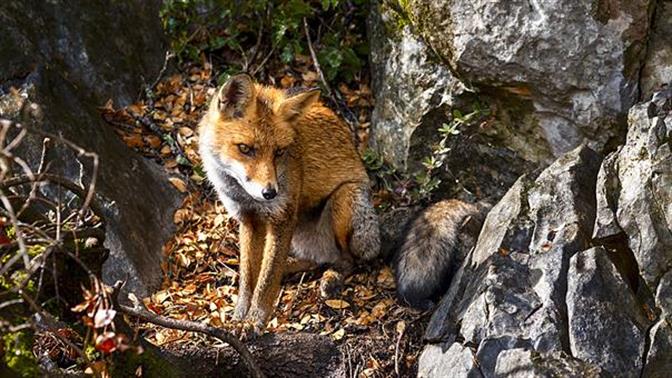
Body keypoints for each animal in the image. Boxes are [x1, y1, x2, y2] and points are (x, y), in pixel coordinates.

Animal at [197, 74, 380, 336]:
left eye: (279, 152)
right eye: (245, 148)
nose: (270, 193)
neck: (245, 196)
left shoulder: (281, 218)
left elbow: (266, 280)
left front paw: (254, 321)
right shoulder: (248, 219)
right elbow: (249, 277)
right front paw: (240, 315)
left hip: (343, 201)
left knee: (347, 260)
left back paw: (332, 277)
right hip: (300, 235)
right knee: (315, 260)